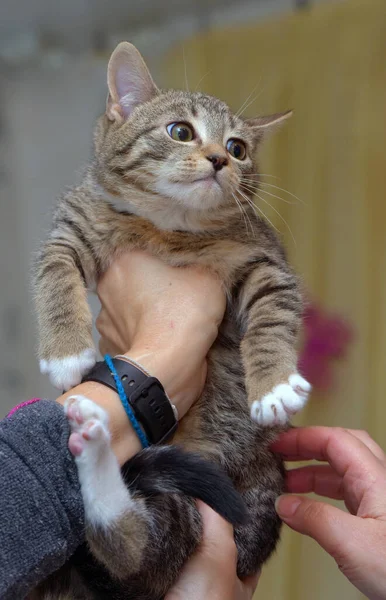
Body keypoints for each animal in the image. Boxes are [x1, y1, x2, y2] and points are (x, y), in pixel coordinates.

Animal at [33, 43, 310, 600]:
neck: (170, 229)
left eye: (238, 147)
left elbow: (273, 319)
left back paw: (93, 449)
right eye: (180, 131)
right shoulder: (73, 226)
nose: (220, 158)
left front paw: (273, 385)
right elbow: (55, 274)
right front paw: (66, 351)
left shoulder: (264, 261)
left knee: (137, 547)